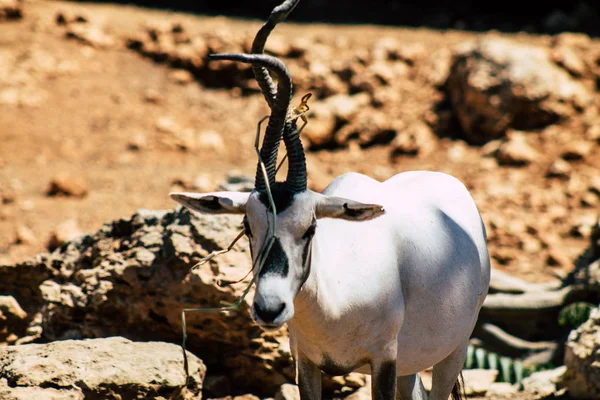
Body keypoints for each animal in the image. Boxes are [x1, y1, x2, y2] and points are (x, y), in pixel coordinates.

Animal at [171, 1, 490, 398]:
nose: (269, 308)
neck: (333, 297)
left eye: (310, 228)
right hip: (412, 364)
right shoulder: (306, 361)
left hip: (453, 350)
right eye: (248, 226)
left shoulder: (384, 359)